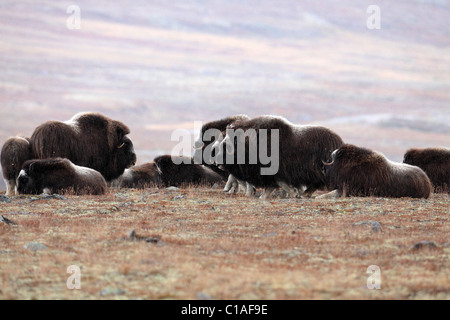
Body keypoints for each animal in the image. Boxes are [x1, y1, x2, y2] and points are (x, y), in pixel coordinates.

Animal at [215, 115, 344, 199]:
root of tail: (338, 141)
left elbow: (280, 184)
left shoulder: (276, 172)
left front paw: (293, 194)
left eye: (226, 145)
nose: (217, 163)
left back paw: (306, 194)